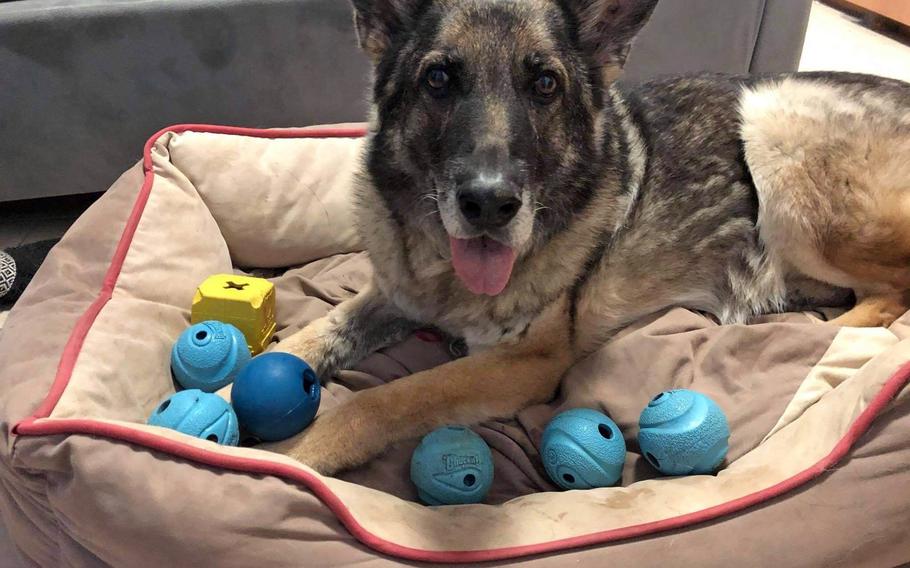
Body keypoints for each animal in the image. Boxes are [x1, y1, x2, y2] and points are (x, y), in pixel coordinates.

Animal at [268, 0, 910, 474]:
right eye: (439, 79)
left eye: (545, 84)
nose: (489, 204)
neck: (446, 277)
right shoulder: (394, 294)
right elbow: (311, 337)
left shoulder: (524, 362)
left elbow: (387, 399)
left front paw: (291, 457)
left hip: (777, 129)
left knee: (890, 295)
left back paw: (809, 336)